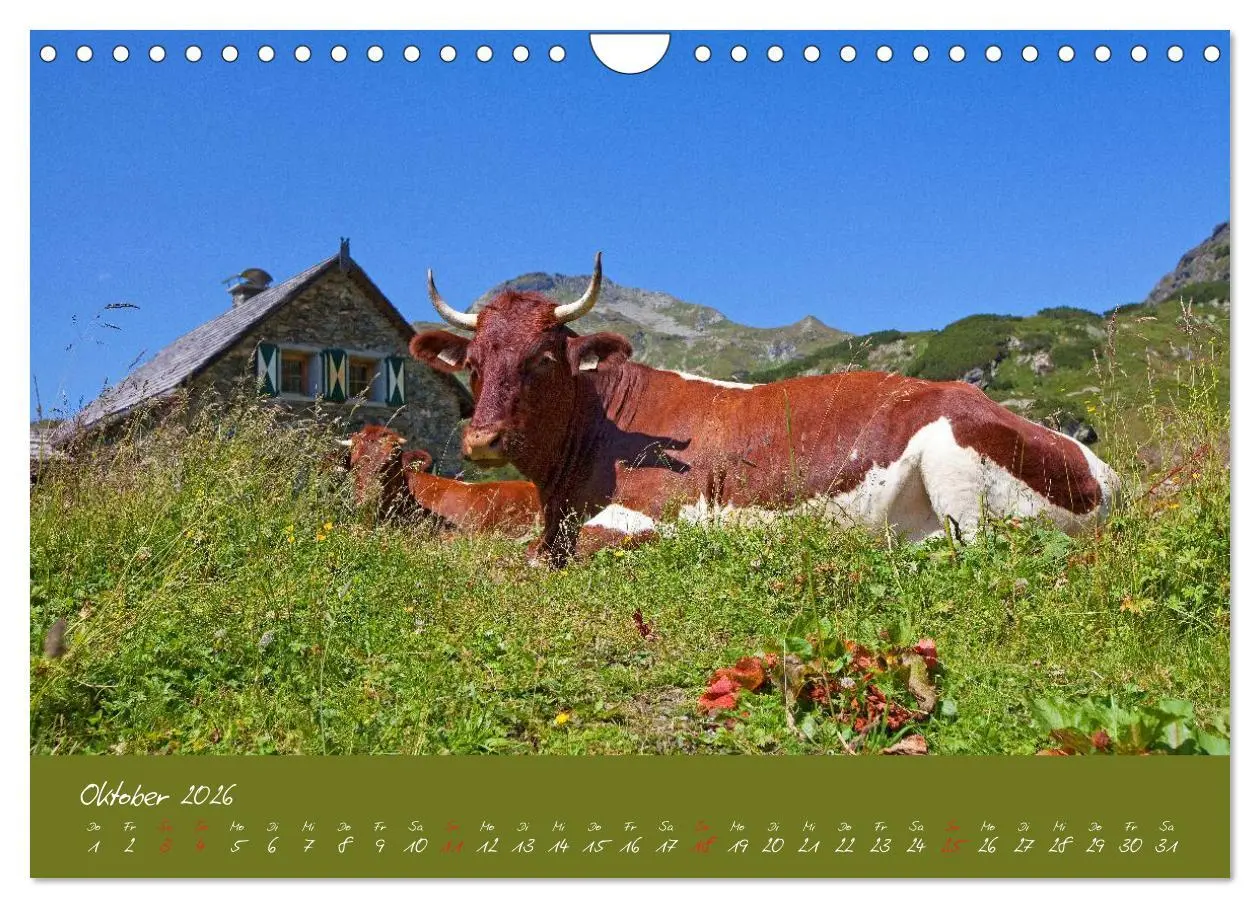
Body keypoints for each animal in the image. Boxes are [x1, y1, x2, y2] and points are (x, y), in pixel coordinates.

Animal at [409, 253, 1123, 567]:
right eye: (475, 362)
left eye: (542, 359)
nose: (482, 441)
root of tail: (1104, 471)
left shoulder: (665, 515)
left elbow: (572, 550)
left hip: (955, 461)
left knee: (977, 551)